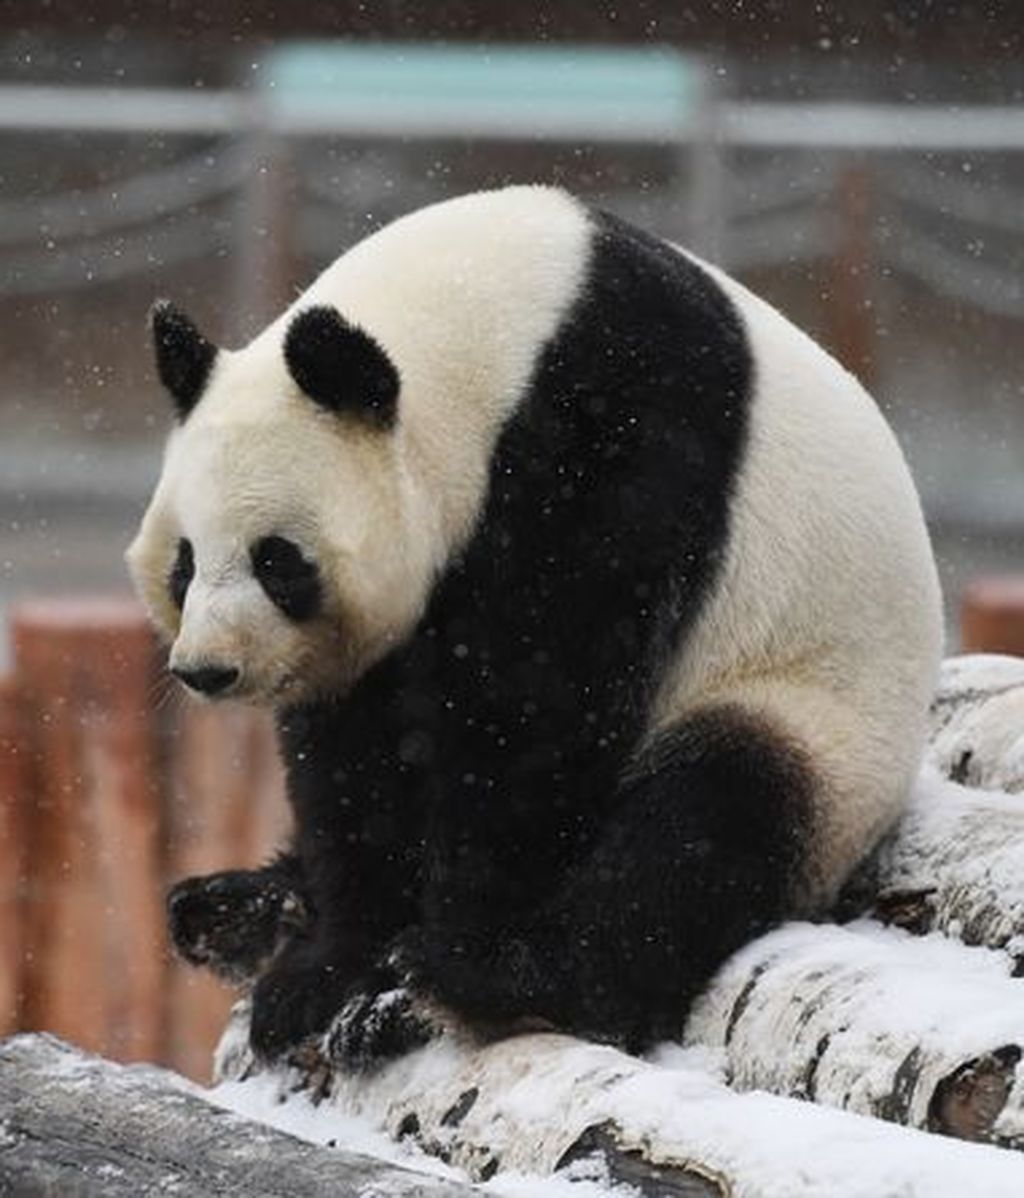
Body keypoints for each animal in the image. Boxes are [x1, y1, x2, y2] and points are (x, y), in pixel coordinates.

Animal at [128, 184, 943, 1068]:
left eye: (278, 562)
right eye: (184, 563)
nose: (209, 669)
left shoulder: (615, 447)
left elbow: (531, 717)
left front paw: (396, 982)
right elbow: (358, 755)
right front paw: (320, 972)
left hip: (819, 719)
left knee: (705, 818)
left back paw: (490, 980)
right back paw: (233, 906)